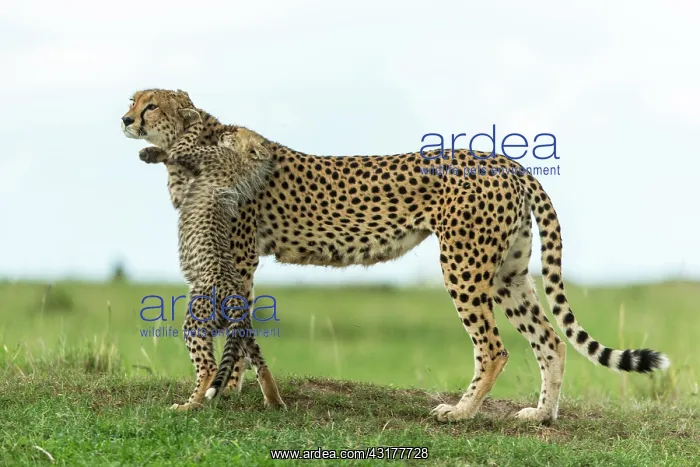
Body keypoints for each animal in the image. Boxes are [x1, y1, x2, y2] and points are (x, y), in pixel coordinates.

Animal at [122, 88, 670, 423]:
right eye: (134, 101)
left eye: (151, 106)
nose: (125, 118)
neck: (199, 144)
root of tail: (507, 160)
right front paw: (239, 387)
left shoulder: (239, 255)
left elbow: (237, 325)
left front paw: (227, 386)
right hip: (508, 273)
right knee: (551, 340)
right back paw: (541, 415)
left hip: (464, 264)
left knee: (494, 347)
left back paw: (461, 412)